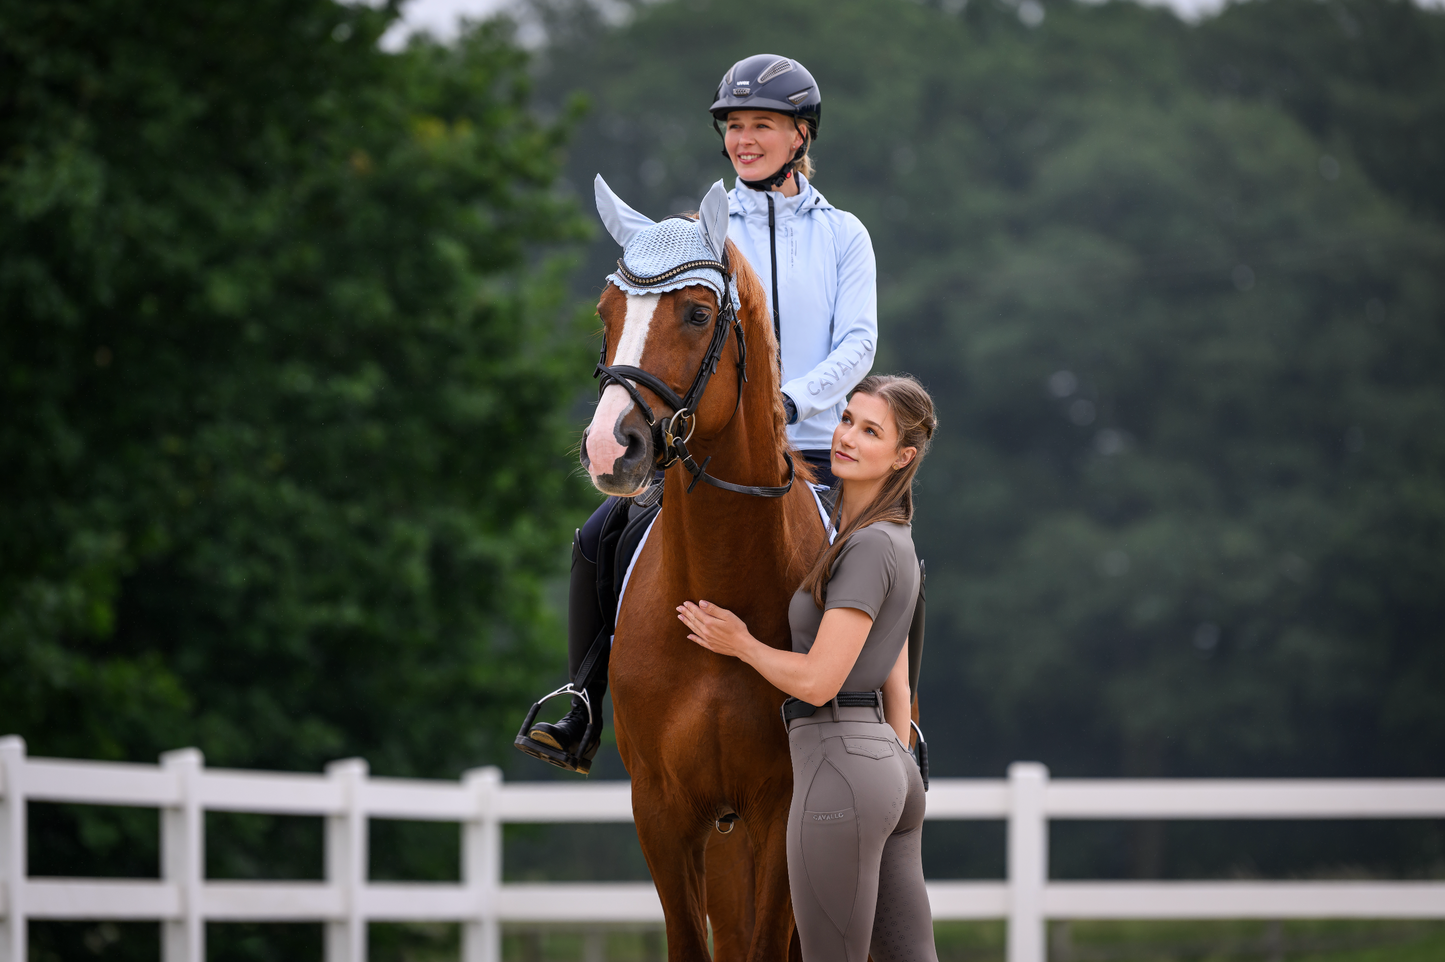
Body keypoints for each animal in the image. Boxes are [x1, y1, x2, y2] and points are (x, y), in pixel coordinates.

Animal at [580, 177, 828, 961]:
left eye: (695, 313)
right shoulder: (662, 810)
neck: (719, 585)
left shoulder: (783, 806)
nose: (609, 448)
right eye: (606, 314)